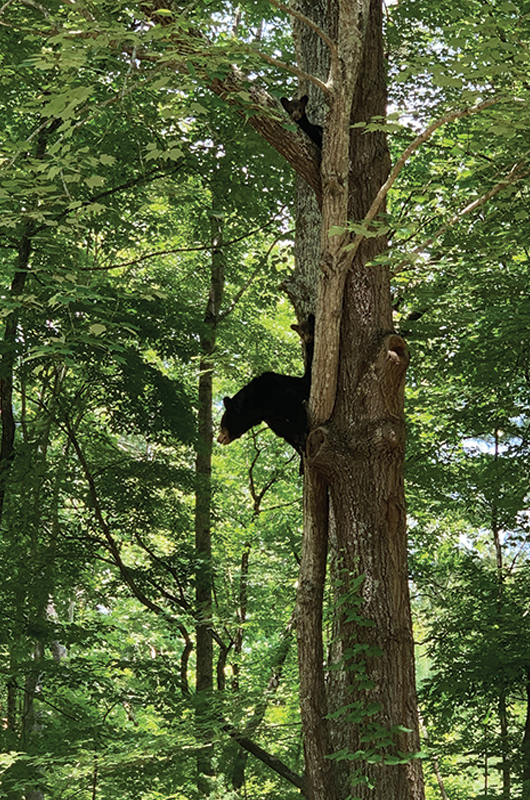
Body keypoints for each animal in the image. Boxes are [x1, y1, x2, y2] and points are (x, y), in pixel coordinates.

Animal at [216, 318, 314, 456]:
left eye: (222, 425)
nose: (219, 439)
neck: (257, 405)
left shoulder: (280, 394)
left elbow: (296, 412)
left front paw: (301, 437)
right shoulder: (270, 416)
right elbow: (283, 429)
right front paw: (297, 442)